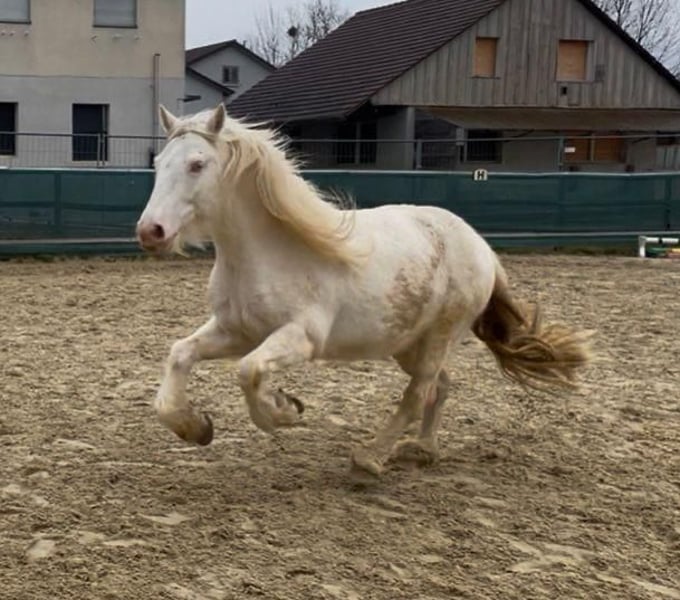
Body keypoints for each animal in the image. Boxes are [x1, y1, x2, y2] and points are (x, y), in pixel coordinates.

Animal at [135, 103, 593, 479]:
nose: (150, 231)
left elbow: (248, 371)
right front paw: (194, 427)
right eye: (160, 162)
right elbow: (180, 353)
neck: (269, 252)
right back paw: (421, 450)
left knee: (418, 394)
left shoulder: (299, 338)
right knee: (440, 387)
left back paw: (370, 458)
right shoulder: (235, 330)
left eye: (197, 164)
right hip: (408, 344)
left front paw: (283, 412)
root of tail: (482, 248)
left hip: (439, 337)